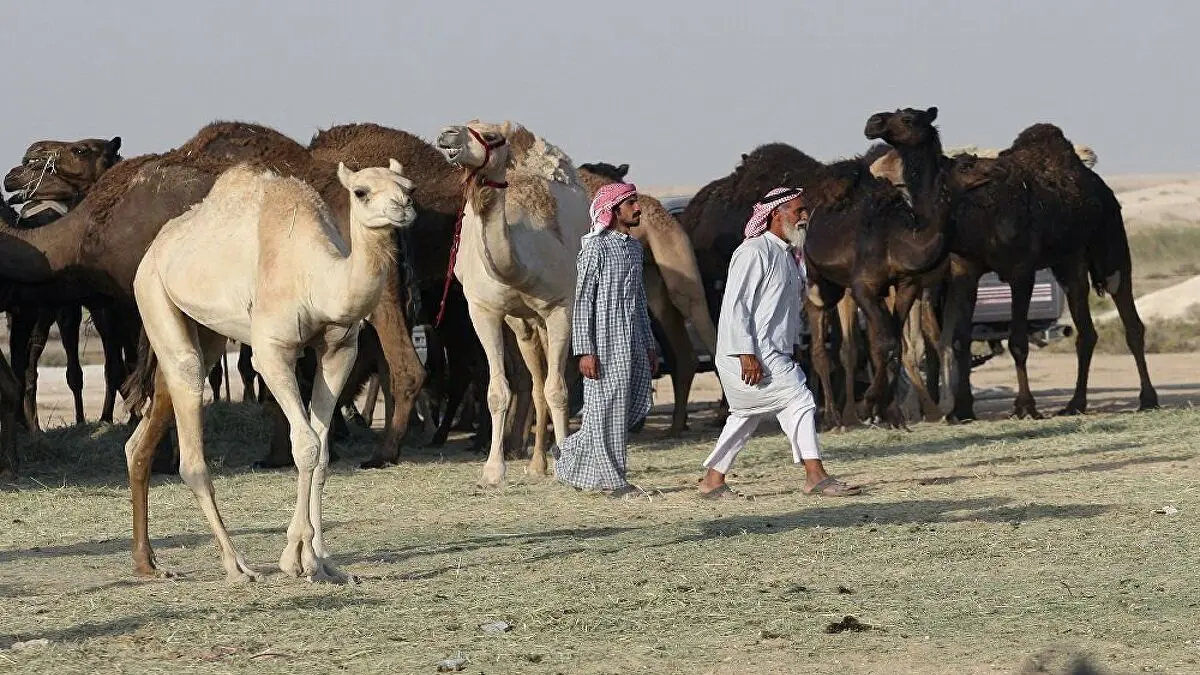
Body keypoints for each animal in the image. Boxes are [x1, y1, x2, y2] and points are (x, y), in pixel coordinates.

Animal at [123, 157, 417, 578]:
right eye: (361, 191)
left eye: (409, 187)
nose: (403, 207)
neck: (317, 277)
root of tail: (156, 247)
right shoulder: (273, 351)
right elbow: (306, 444)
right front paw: (295, 557)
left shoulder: (339, 349)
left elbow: (322, 453)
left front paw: (324, 561)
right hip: (151, 292)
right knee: (190, 430)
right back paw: (236, 566)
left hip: (202, 329)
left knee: (149, 422)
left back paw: (147, 563)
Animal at [439, 119, 592, 482]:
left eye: (490, 136)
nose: (447, 135)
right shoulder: (484, 311)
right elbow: (497, 391)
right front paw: (493, 470)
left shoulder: (561, 308)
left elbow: (558, 390)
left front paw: (566, 463)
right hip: (521, 323)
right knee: (535, 383)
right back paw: (536, 464)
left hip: (547, 318)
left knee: (549, 382)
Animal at [868, 107, 1156, 417]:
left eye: (908, 118)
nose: (872, 122)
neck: (972, 215)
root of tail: (1100, 187)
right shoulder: (964, 271)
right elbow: (960, 340)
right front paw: (962, 409)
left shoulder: (1021, 272)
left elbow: (1018, 342)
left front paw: (1025, 406)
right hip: (1069, 261)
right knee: (1086, 330)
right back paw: (1074, 404)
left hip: (1111, 243)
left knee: (1130, 318)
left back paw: (1148, 399)